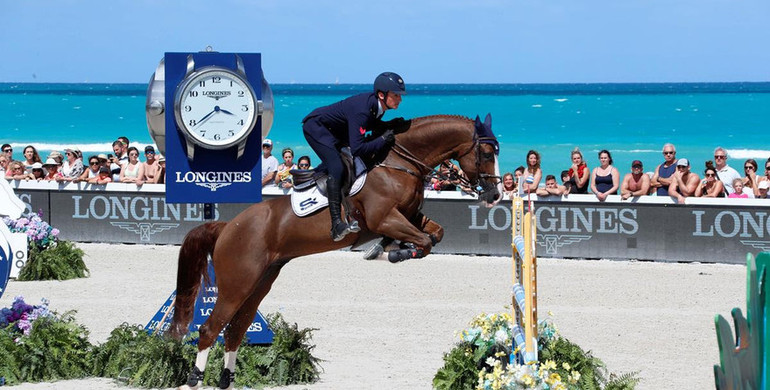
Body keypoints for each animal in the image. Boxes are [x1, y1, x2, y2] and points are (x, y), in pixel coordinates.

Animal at [171, 113, 500, 390]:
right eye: (486, 154)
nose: (495, 194)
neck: (397, 161)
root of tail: (227, 226)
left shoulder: (410, 216)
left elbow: (435, 235)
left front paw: (388, 249)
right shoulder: (385, 218)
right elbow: (425, 242)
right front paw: (391, 252)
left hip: (259, 284)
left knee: (234, 331)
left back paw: (227, 379)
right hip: (236, 284)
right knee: (210, 329)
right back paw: (195, 380)